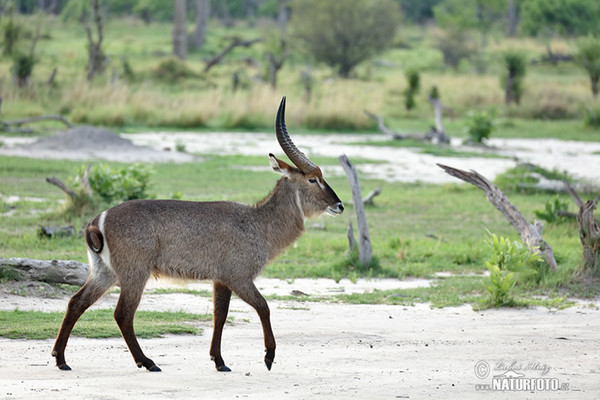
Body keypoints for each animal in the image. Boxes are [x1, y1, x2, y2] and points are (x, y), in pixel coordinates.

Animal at [51, 97, 344, 372]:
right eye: (312, 179)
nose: (339, 205)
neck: (259, 223)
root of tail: (97, 220)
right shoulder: (239, 276)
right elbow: (263, 306)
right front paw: (269, 357)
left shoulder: (221, 280)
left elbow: (219, 316)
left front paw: (219, 361)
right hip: (135, 273)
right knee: (122, 314)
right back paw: (147, 362)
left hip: (105, 272)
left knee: (76, 303)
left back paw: (61, 359)